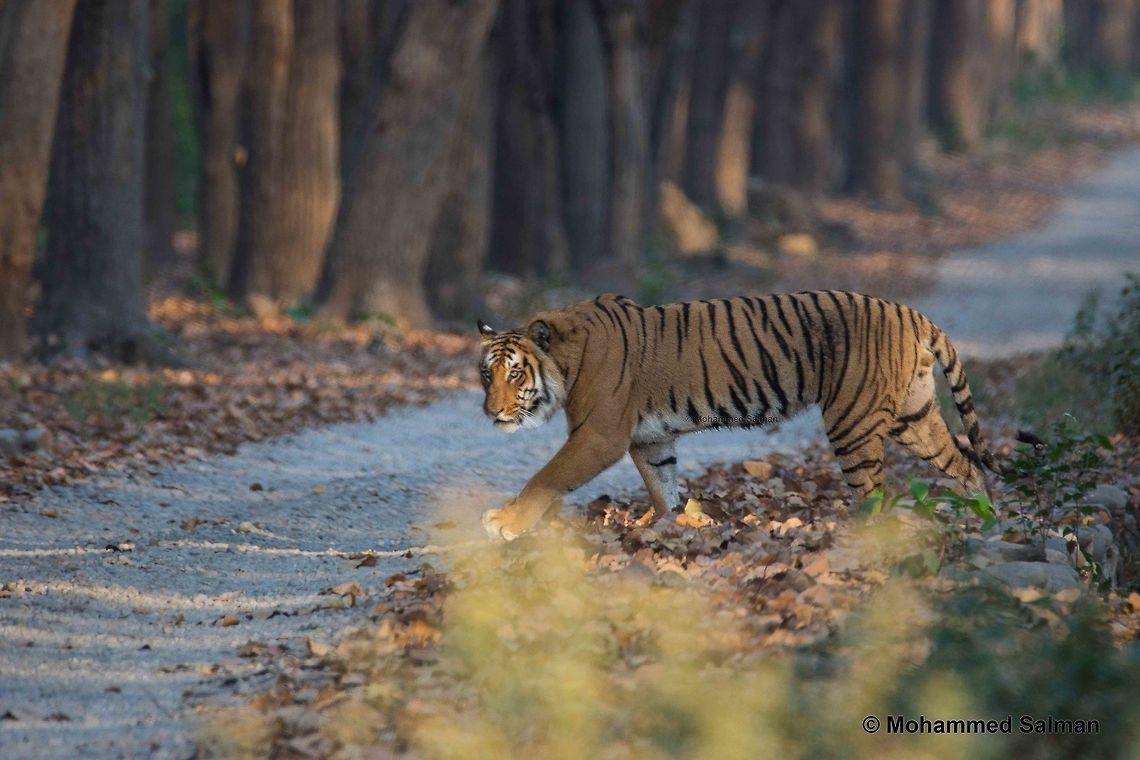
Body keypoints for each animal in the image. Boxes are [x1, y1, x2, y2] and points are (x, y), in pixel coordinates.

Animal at [477, 292, 1000, 541]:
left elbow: (546, 477)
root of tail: (911, 314)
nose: (490, 411)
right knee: (965, 463)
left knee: (874, 492)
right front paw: (673, 528)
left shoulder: (599, 435)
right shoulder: (650, 439)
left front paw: (506, 521)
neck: (568, 360)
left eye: (514, 374)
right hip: (914, 417)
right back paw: (985, 517)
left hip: (852, 421)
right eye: (486, 374)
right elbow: (663, 487)